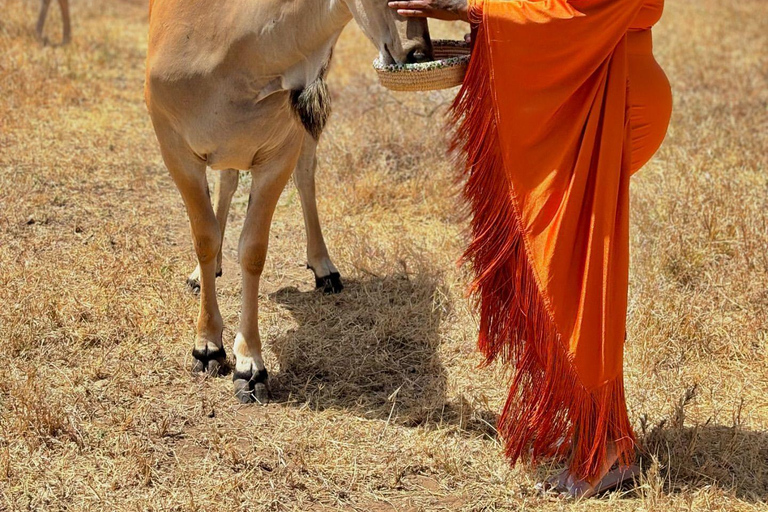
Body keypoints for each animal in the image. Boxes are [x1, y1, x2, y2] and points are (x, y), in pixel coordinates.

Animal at [145, 0, 432, 402]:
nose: (417, 52)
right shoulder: (175, 151)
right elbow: (205, 238)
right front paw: (207, 346)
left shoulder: (279, 152)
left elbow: (252, 249)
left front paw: (250, 367)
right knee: (227, 184)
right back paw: (204, 274)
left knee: (304, 174)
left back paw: (324, 269)